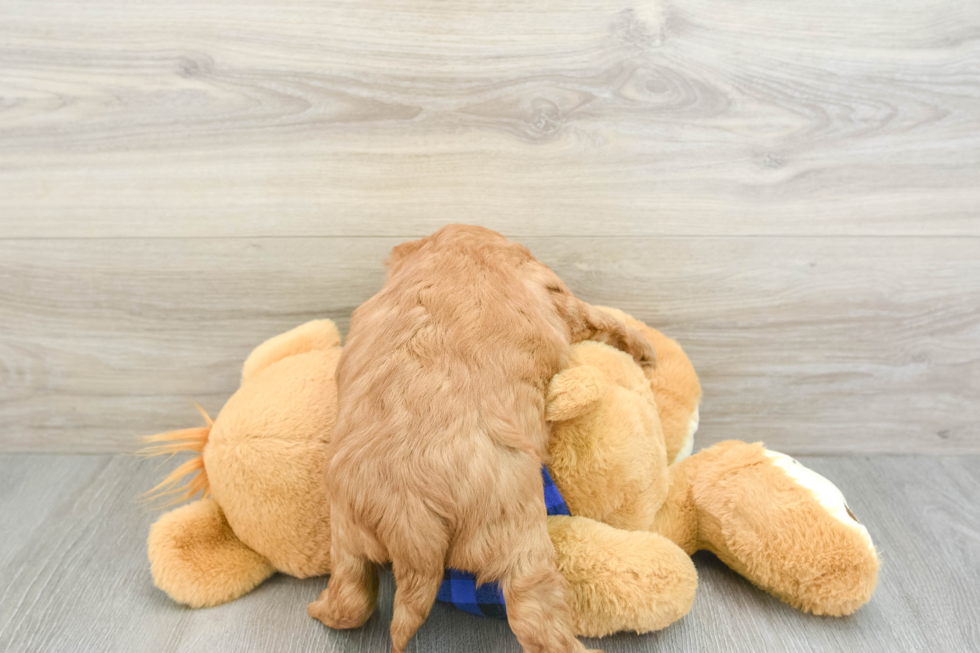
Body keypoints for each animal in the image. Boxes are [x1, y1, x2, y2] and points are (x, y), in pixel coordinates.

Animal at [310, 225, 656, 652]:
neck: (458, 245)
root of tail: (407, 516)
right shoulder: (556, 294)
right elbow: (599, 317)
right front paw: (645, 349)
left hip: (346, 531)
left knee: (351, 597)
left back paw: (320, 609)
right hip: (516, 538)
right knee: (537, 620)